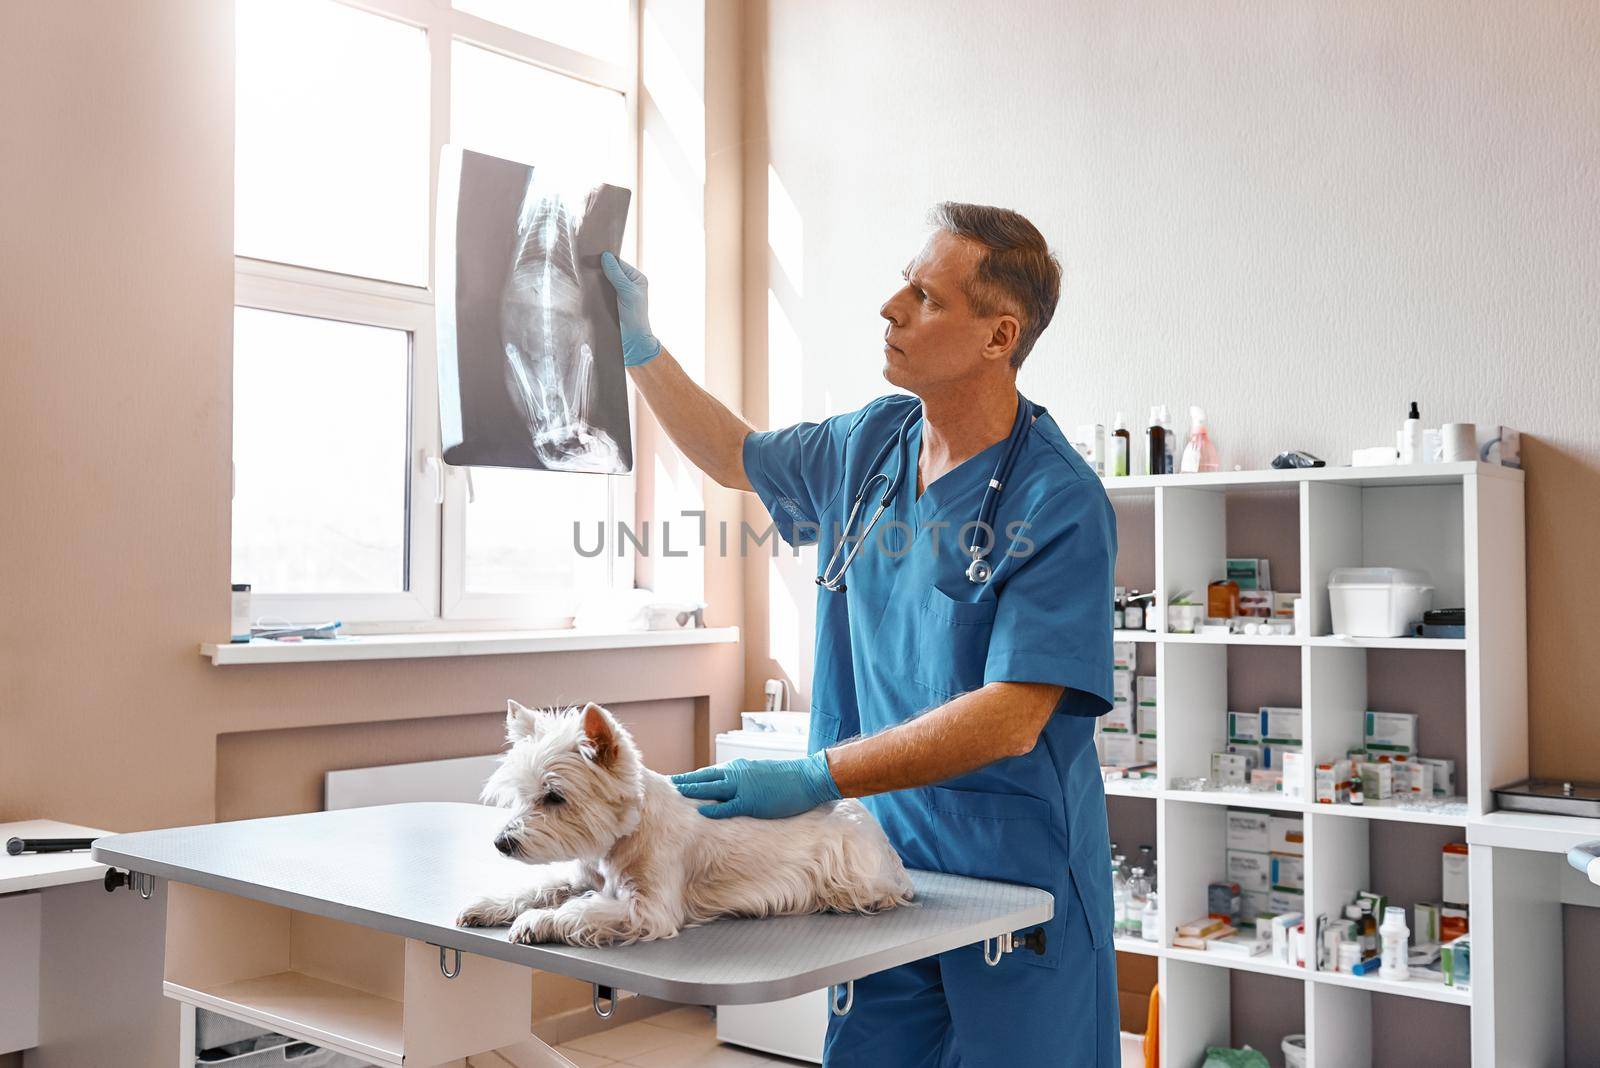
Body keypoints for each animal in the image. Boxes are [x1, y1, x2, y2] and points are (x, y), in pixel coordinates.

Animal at [457, 703, 921, 946]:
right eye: (519, 795)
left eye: (554, 796)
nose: (502, 843)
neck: (624, 837)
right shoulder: (586, 878)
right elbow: (542, 888)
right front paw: (486, 907)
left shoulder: (649, 909)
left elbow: (579, 909)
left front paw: (533, 922)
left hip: (852, 870)